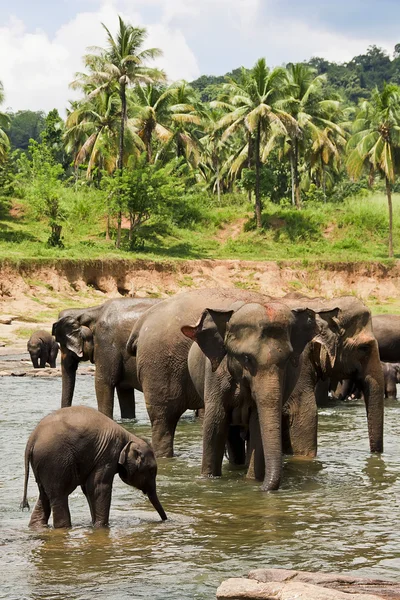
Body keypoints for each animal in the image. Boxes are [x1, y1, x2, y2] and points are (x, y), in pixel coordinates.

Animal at [20, 406, 166, 528]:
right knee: (59, 495)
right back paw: (64, 527)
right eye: (151, 470)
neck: (128, 435)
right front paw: (101, 527)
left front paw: (95, 524)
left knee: (44, 495)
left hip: (43, 465)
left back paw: (37, 527)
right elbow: (98, 487)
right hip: (55, 462)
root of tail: (32, 439)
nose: (165, 520)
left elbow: (88, 489)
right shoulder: (108, 455)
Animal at [126, 288, 340, 492]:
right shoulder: (215, 373)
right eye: (246, 358)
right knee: (164, 420)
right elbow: (216, 422)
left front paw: (252, 482)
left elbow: (256, 423)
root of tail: (141, 323)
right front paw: (208, 481)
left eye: (288, 360)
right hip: (158, 368)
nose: (265, 490)